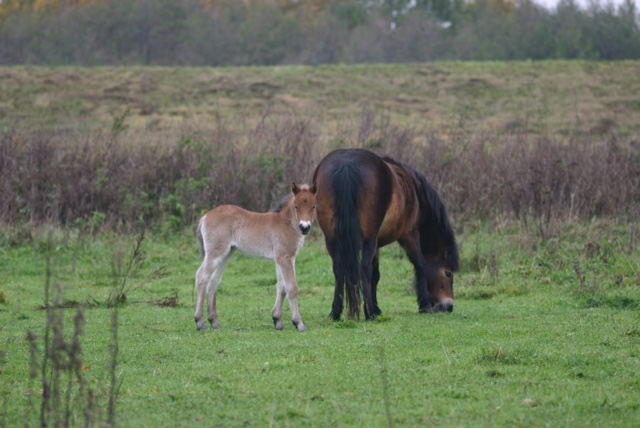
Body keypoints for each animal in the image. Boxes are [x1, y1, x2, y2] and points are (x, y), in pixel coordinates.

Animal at [194, 182, 316, 332]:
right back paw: (200, 322)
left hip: (227, 254)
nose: (305, 227)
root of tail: (205, 216)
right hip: (215, 253)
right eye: (296, 206)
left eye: (313, 206)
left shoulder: (283, 259)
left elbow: (282, 287)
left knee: (214, 281)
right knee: (202, 277)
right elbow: (292, 288)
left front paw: (277, 321)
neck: (286, 223)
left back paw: (214, 322)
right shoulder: (285, 257)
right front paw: (299, 323)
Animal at [312, 149, 458, 320]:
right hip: (368, 239)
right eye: (448, 273)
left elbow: (376, 275)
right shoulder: (409, 234)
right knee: (364, 268)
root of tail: (347, 165)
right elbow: (420, 264)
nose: (449, 306)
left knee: (339, 268)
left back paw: (336, 312)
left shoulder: (377, 244)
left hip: (332, 239)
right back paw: (369, 314)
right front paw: (424, 305)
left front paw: (377, 308)